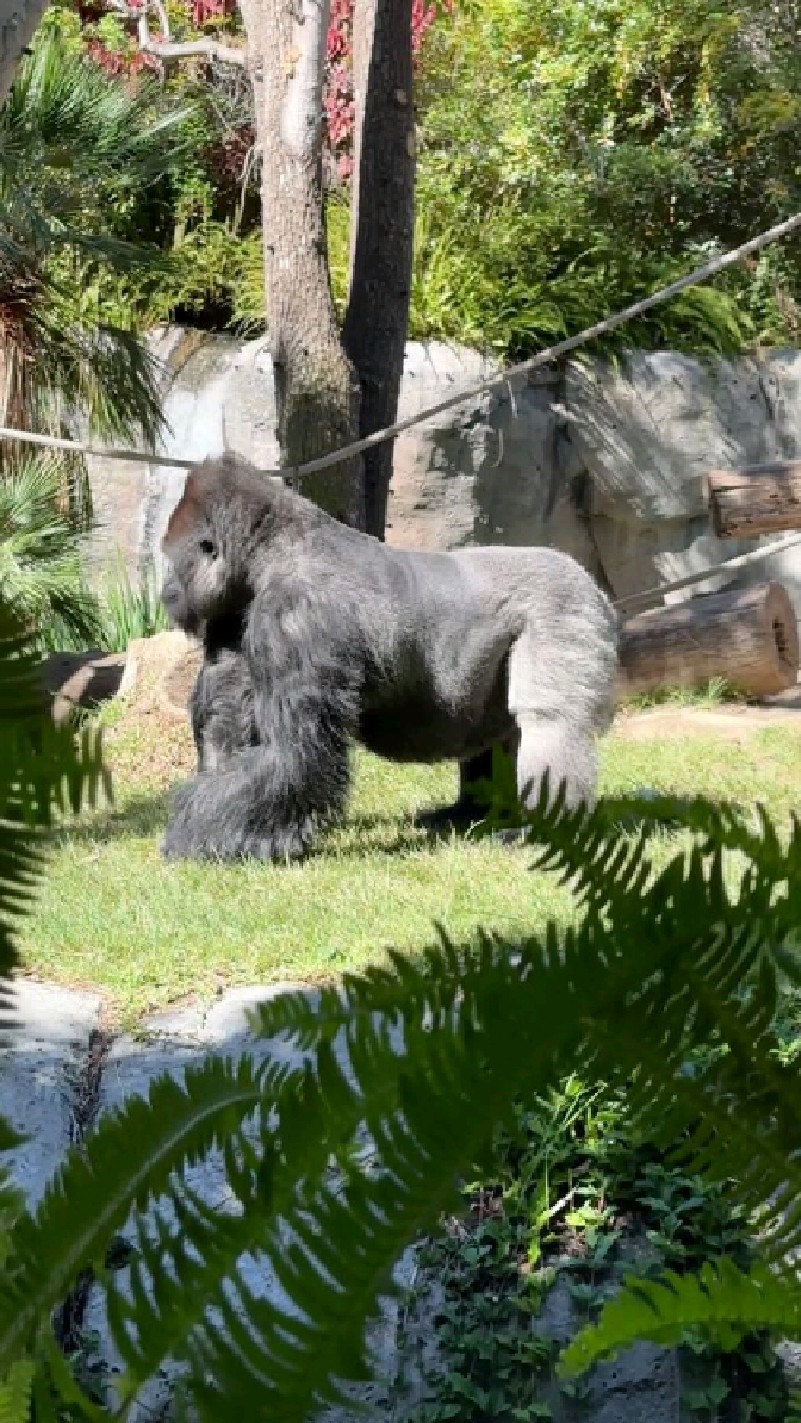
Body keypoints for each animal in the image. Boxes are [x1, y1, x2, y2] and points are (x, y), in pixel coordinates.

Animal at [158, 455, 620, 859]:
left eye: (170, 560)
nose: (166, 593)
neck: (275, 548)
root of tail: (592, 585)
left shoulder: (295, 616)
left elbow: (289, 753)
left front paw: (197, 832)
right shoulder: (235, 611)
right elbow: (228, 725)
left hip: (562, 607)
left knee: (549, 722)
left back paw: (546, 830)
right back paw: (473, 812)